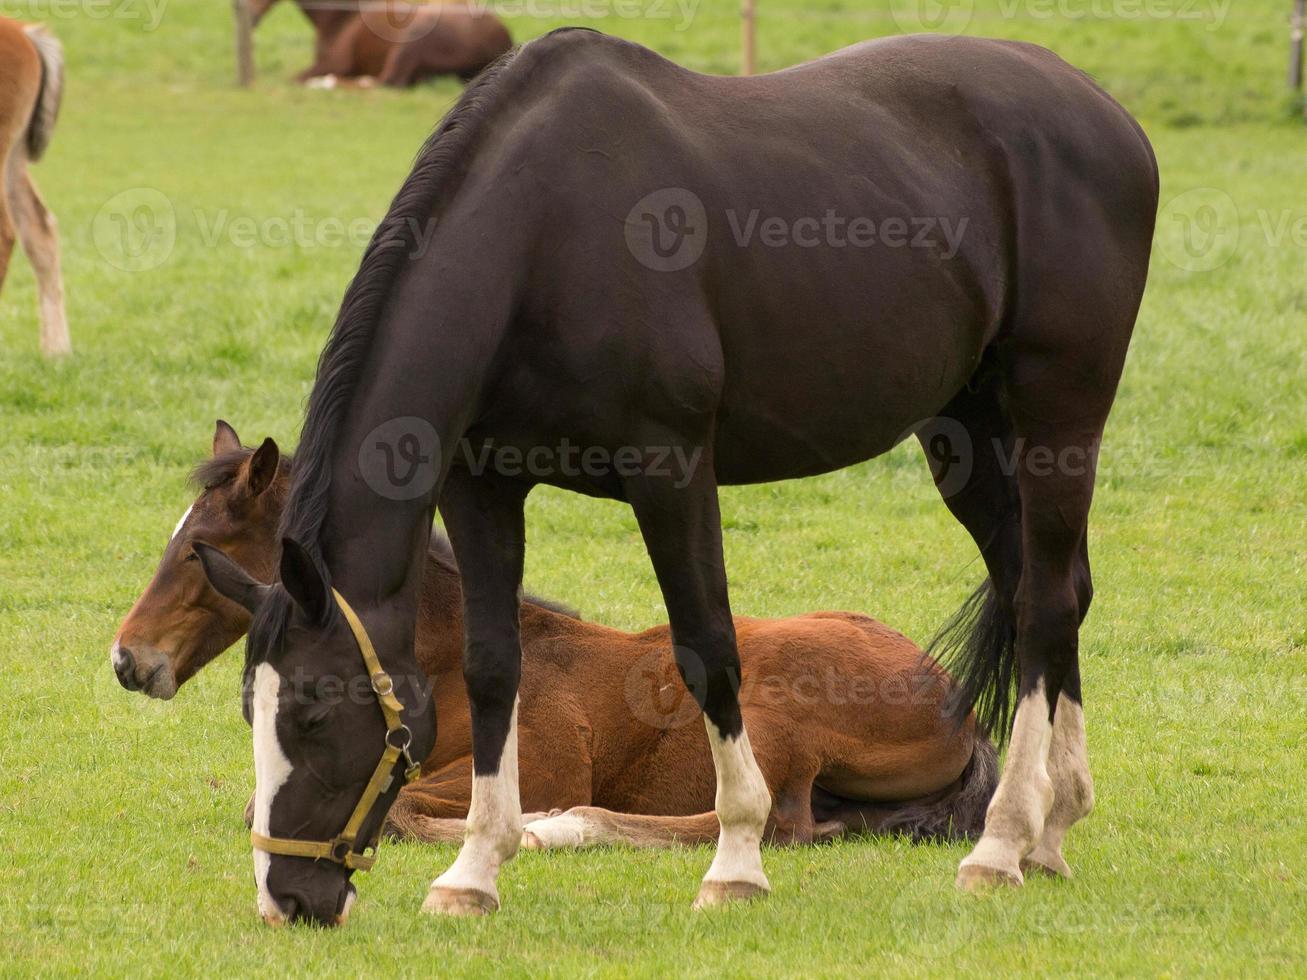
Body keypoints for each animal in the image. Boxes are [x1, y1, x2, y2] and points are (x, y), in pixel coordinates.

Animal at [112, 423, 993, 857]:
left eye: (199, 546)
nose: (127, 658)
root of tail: (959, 702)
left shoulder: (539, 762)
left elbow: (406, 807)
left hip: (774, 711)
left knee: (761, 822)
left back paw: (561, 828)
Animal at [206, 26, 1155, 925]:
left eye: (313, 712)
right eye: (254, 712)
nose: (288, 897)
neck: (541, 239)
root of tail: (1106, 117)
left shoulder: (669, 469)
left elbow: (708, 651)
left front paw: (734, 866)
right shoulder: (482, 483)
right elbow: (492, 666)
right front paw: (473, 874)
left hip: (1057, 417)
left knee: (1046, 604)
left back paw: (1000, 846)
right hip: (965, 435)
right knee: (1043, 593)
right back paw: (1047, 834)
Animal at [249, 0, 509, 88]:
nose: (250, 16)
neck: (342, 17)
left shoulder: (332, 64)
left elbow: (294, 79)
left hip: (410, 43)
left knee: (383, 83)